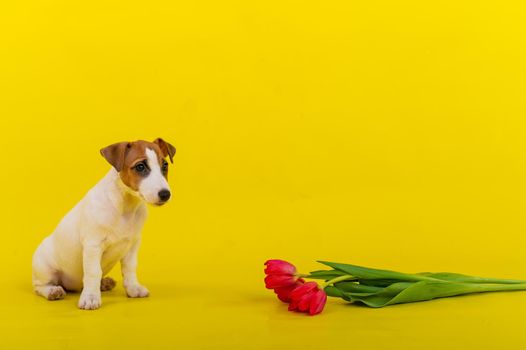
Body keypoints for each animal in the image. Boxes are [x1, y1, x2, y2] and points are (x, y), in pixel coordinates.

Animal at [33, 138, 177, 310]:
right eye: (140, 167)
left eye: (165, 166)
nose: (165, 194)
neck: (125, 206)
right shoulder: (93, 245)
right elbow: (93, 272)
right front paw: (91, 297)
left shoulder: (133, 245)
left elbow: (130, 268)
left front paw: (133, 288)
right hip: (44, 269)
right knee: (39, 286)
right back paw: (53, 291)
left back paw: (104, 283)